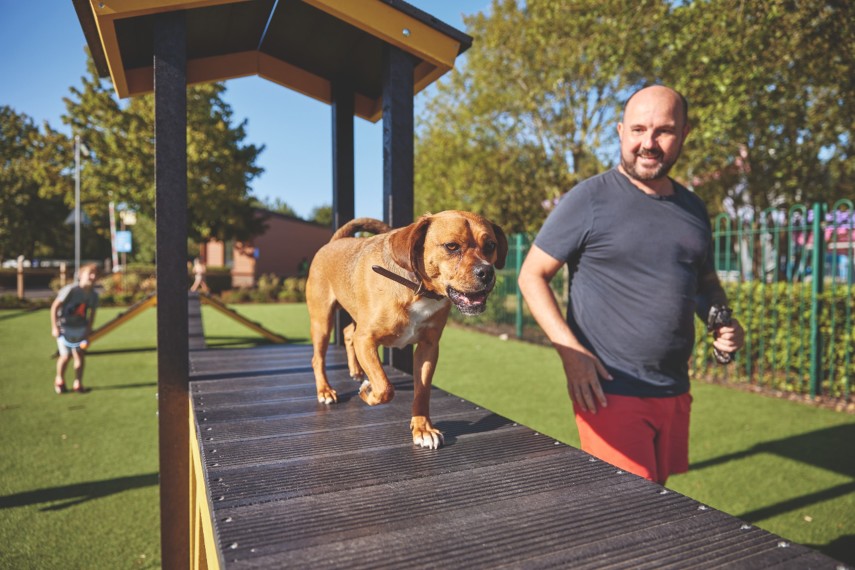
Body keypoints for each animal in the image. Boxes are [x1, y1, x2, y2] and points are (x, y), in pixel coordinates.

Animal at [308, 211, 508, 446]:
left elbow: (422, 391)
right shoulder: (366, 340)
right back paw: (325, 390)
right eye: (451, 246)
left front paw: (423, 429)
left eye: (491, 245)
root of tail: (334, 242)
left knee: (348, 332)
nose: (487, 271)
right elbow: (385, 387)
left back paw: (356, 370)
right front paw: (368, 392)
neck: (417, 289)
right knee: (318, 358)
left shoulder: (428, 347)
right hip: (322, 321)